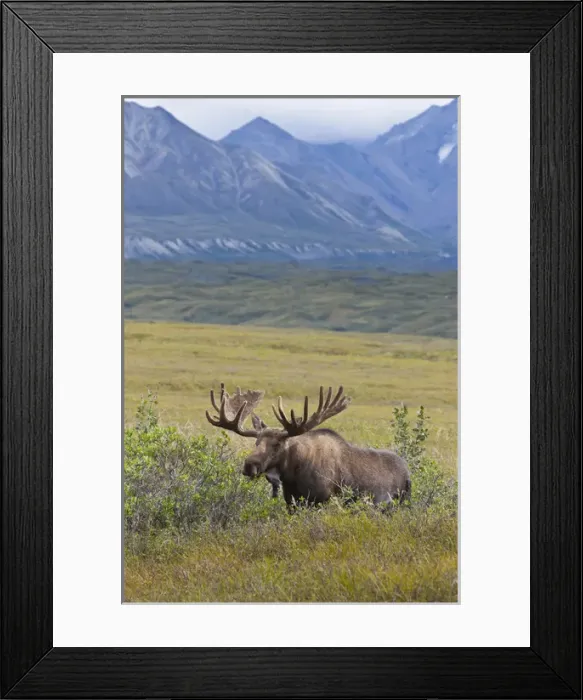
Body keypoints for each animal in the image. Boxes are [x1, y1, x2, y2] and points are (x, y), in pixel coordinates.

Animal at [205, 383, 411, 510]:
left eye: (277, 444)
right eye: (256, 442)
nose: (249, 465)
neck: (293, 475)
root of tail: (408, 472)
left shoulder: (322, 500)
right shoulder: (291, 502)